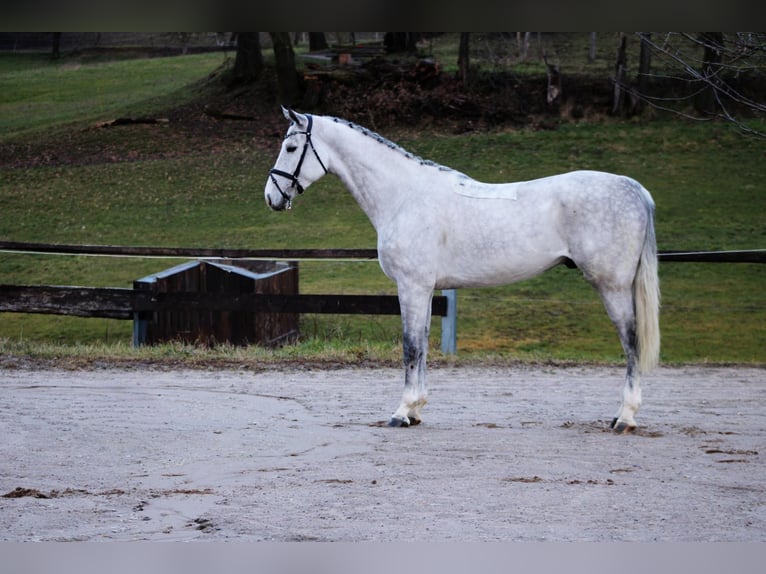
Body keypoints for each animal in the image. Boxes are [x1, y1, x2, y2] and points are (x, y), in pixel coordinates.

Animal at [265, 107, 660, 433]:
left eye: (290, 148)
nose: (271, 197)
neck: (403, 195)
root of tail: (635, 189)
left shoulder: (411, 286)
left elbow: (410, 346)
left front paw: (401, 412)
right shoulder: (425, 289)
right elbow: (422, 344)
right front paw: (416, 410)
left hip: (612, 286)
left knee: (631, 341)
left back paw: (625, 417)